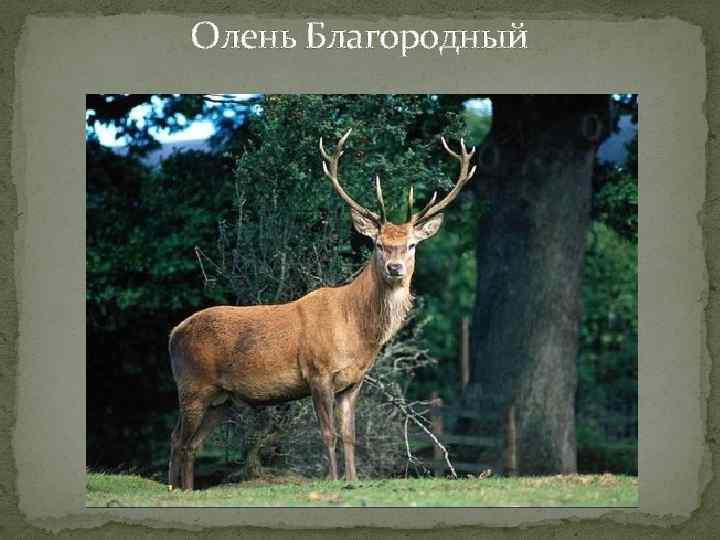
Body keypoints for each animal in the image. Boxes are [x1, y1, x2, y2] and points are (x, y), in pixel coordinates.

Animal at [168, 129, 476, 490]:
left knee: (191, 443)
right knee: (178, 439)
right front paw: (331, 479)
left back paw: (186, 489)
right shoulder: (317, 372)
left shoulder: (352, 382)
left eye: (411, 244)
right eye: (378, 244)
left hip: (222, 398)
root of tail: (173, 333)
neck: (357, 332)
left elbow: (350, 436)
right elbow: (328, 434)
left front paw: (353, 480)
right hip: (192, 384)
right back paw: (173, 487)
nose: (395, 268)